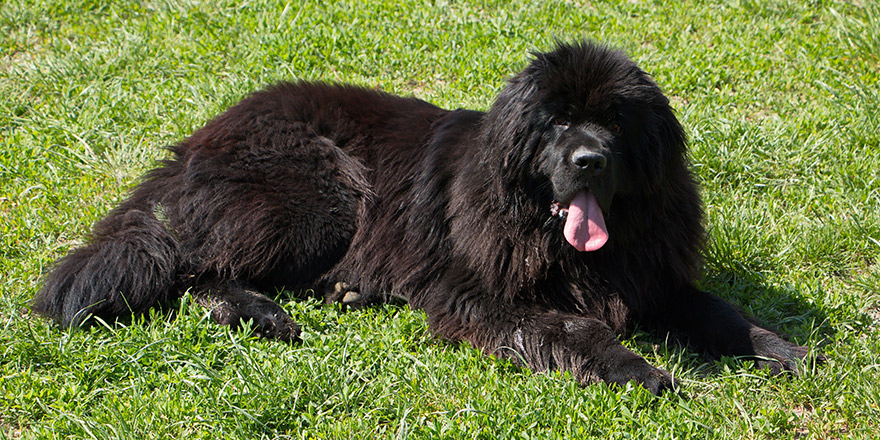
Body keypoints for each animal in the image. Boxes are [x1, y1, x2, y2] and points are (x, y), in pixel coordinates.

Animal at [34, 40, 820, 392]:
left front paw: (785, 350)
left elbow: (719, 312)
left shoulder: (653, 275)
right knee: (195, 265)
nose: (590, 159)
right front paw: (640, 370)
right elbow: (576, 327)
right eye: (558, 122)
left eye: (617, 122)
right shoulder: (476, 291)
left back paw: (340, 291)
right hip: (323, 195)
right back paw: (261, 312)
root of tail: (200, 136)